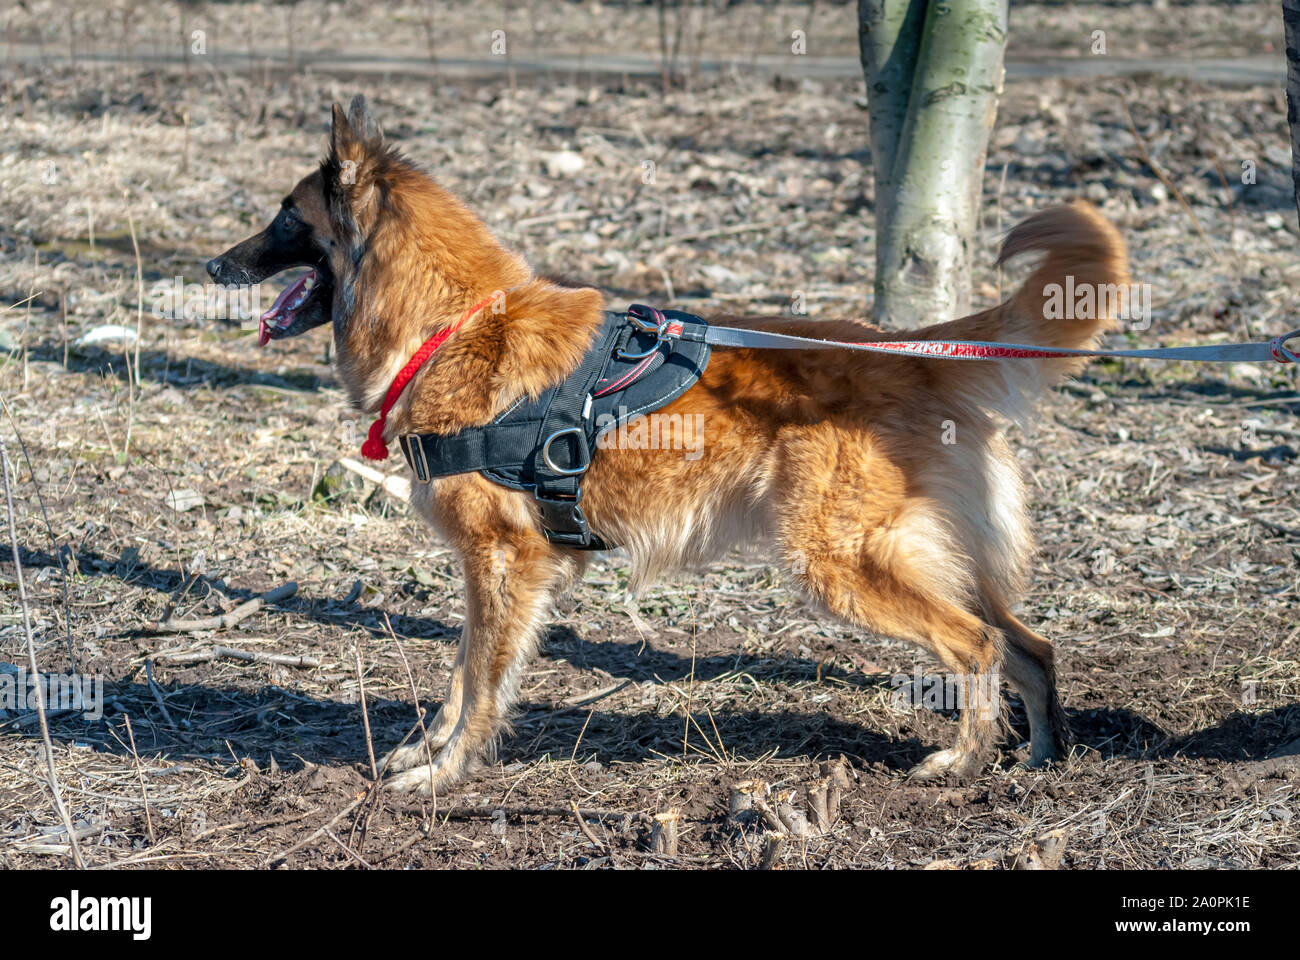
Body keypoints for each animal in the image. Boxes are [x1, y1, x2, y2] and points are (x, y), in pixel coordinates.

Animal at [208, 95, 1133, 790]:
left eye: (286, 215)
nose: (215, 267)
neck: (454, 326)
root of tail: (907, 349)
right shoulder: (497, 571)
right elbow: (464, 670)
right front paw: (428, 751)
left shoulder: (502, 562)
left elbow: (479, 681)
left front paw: (443, 774)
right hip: (934, 558)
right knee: (1030, 645)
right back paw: (1041, 759)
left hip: (844, 566)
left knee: (979, 646)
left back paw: (962, 763)